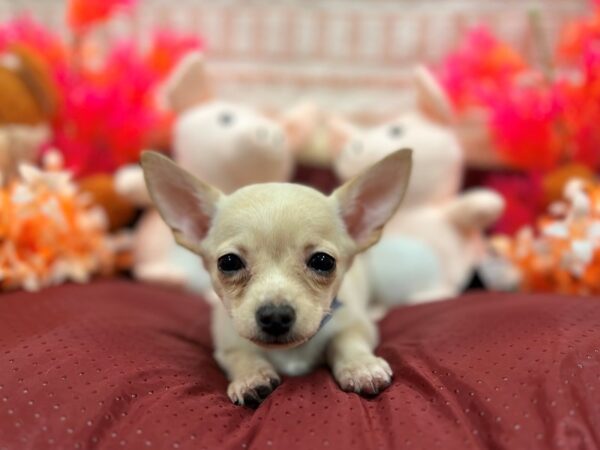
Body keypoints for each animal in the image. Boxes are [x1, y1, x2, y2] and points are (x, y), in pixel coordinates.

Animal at [141, 149, 412, 408]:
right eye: (228, 262)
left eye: (323, 262)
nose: (275, 316)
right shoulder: (226, 346)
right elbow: (241, 355)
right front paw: (251, 377)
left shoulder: (356, 324)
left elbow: (347, 340)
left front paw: (361, 366)